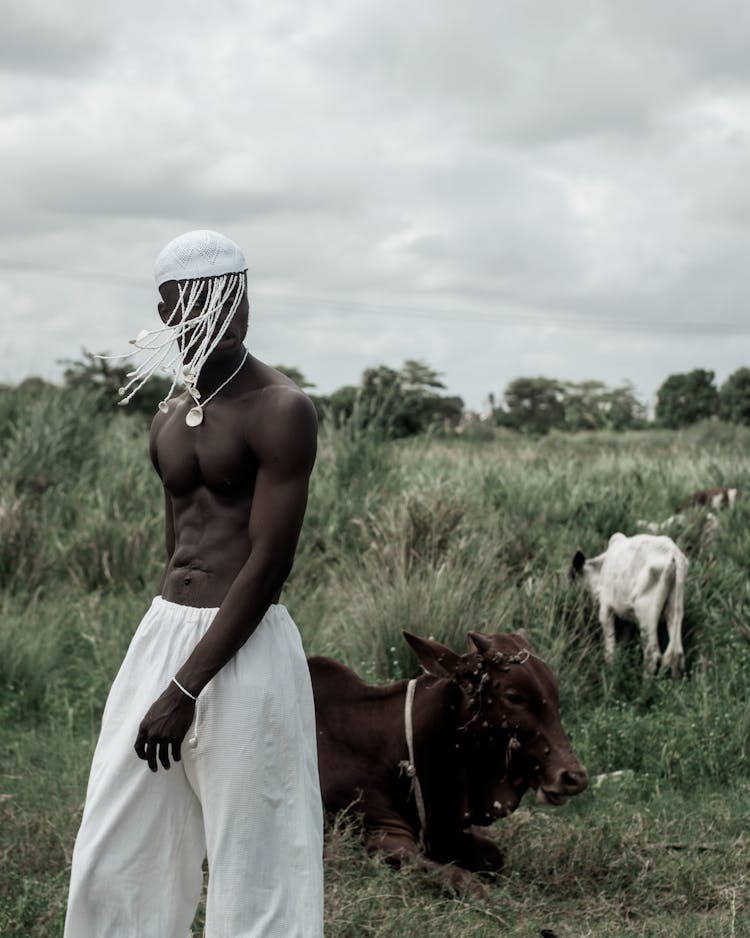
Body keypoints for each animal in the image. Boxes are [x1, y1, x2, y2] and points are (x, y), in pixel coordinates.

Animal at [308, 628, 592, 892]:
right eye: (514, 697)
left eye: (554, 693)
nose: (574, 777)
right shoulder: (381, 835)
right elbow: (465, 881)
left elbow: (493, 857)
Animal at [572, 532, 692, 676]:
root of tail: (673, 555)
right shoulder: (627, 617)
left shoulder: (605, 609)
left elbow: (610, 648)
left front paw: (611, 670)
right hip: (674, 611)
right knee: (676, 654)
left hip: (646, 616)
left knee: (652, 656)